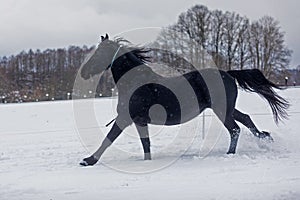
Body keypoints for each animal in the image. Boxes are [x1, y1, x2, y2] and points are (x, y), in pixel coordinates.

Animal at [79, 34, 288, 166]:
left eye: (98, 53)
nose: (83, 72)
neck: (135, 82)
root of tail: (229, 74)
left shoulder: (125, 118)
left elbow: (108, 139)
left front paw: (88, 160)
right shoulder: (139, 121)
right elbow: (145, 144)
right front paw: (147, 163)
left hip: (222, 110)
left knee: (235, 129)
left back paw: (230, 154)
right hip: (227, 108)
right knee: (245, 118)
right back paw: (265, 138)